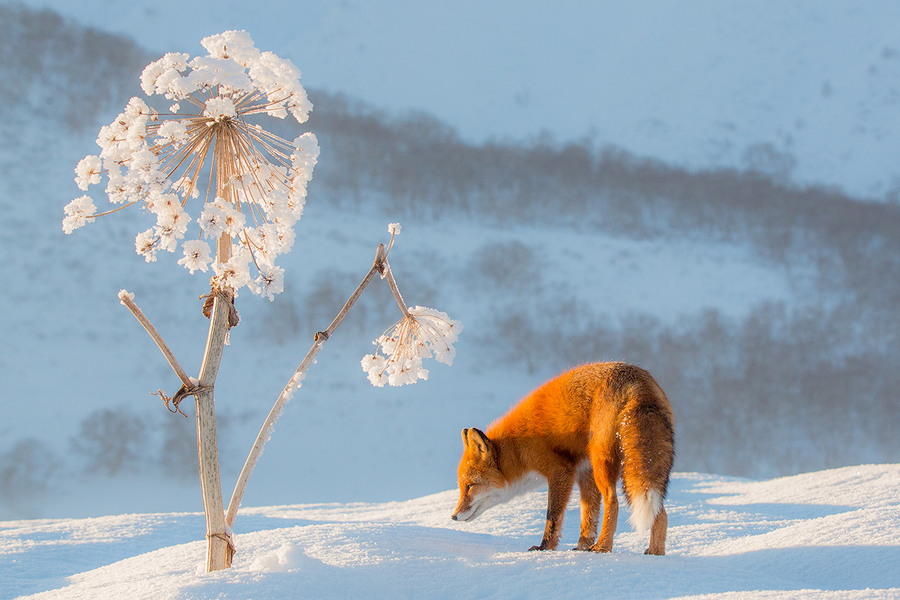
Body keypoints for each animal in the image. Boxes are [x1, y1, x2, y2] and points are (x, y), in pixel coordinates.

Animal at [454, 360, 672, 552]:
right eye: (462, 486)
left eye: (470, 486)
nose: (453, 517)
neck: (517, 448)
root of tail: (636, 379)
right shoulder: (585, 472)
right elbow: (588, 515)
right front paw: (581, 547)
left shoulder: (561, 471)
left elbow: (553, 515)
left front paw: (545, 547)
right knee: (661, 512)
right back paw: (655, 553)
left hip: (602, 463)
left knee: (613, 501)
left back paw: (603, 546)